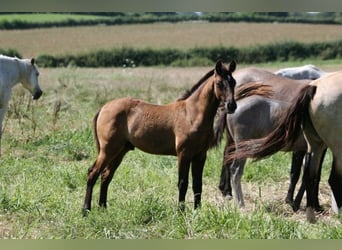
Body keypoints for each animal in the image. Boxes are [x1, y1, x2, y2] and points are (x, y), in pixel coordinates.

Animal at [82, 59, 238, 213]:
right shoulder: (184, 154)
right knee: (93, 173)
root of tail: (103, 108)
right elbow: (183, 183)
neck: (191, 114)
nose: (231, 106)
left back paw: (103, 207)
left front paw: (197, 211)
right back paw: (86, 210)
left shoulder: (200, 155)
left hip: (119, 151)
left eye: (234, 82)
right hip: (108, 150)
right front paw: (181, 211)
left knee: (106, 175)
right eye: (219, 83)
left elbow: (197, 184)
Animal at [224, 71, 342, 222]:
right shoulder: (307, 149)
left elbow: (306, 176)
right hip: (241, 148)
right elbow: (302, 176)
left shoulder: (311, 148)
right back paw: (240, 203)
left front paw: (300, 204)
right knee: (235, 170)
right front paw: (298, 204)